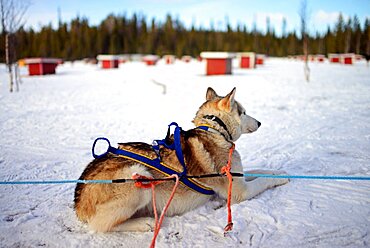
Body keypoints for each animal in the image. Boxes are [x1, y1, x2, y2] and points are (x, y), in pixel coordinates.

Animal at [74, 87, 290, 232]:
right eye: (243, 112)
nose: (260, 122)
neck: (215, 130)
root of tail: (78, 200)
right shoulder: (239, 191)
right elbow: (263, 180)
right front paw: (281, 178)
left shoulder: (237, 175)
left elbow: (263, 171)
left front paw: (280, 172)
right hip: (139, 176)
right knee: (100, 225)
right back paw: (145, 222)